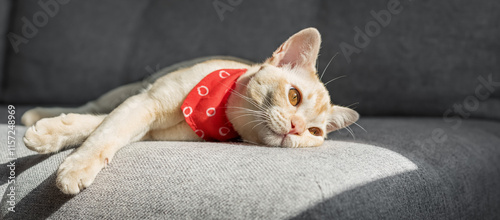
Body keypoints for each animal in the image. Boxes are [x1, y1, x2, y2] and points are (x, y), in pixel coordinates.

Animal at [21, 27, 360, 194]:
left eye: (314, 132)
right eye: (293, 96)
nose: (296, 128)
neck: (218, 112)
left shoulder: (145, 124)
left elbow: (100, 128)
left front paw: (55, 135)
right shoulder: (146, 102)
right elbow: (102, 133)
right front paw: (72, 161)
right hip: (126, 91)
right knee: (91, 105)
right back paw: (36, 113)